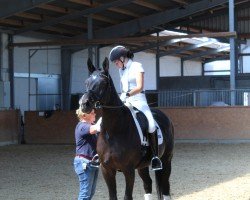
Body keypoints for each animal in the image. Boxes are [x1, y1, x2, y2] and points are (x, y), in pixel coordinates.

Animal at [80, 57, 174, 199]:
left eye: (104, 83)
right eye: (86, 82)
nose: (84, 104)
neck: (113, 131)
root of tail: (164, 115)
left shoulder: (128, 170)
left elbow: (127, 196)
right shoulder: (107, 170)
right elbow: (112, 196)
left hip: (166, 159)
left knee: (165, 186)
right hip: (142, 166)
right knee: (148, 184)